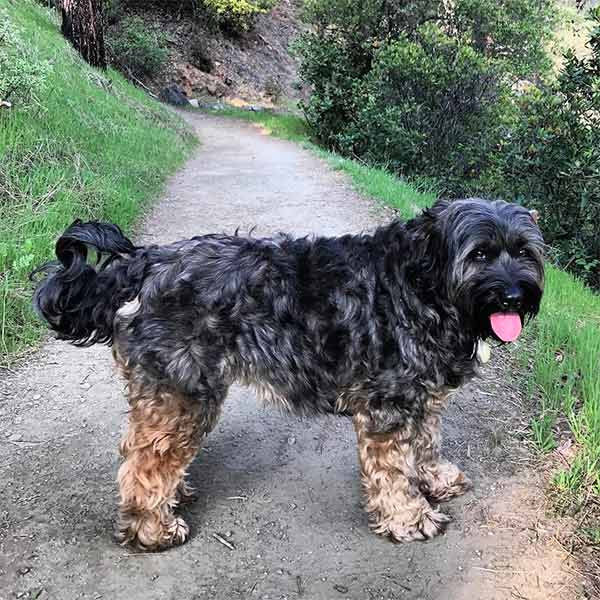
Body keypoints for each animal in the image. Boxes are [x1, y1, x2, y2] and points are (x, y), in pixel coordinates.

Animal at [31, 199, 544, 552]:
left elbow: (427, 442)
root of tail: (144, 263)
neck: (422, 285)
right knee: (143, 466)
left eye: (524, 252)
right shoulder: (388, 407)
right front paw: (410, 517)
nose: (515, 296)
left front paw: (435, 479)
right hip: (184, 394)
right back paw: (153, 529)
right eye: (479, 255)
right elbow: (395, 472)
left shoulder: (421, 398)